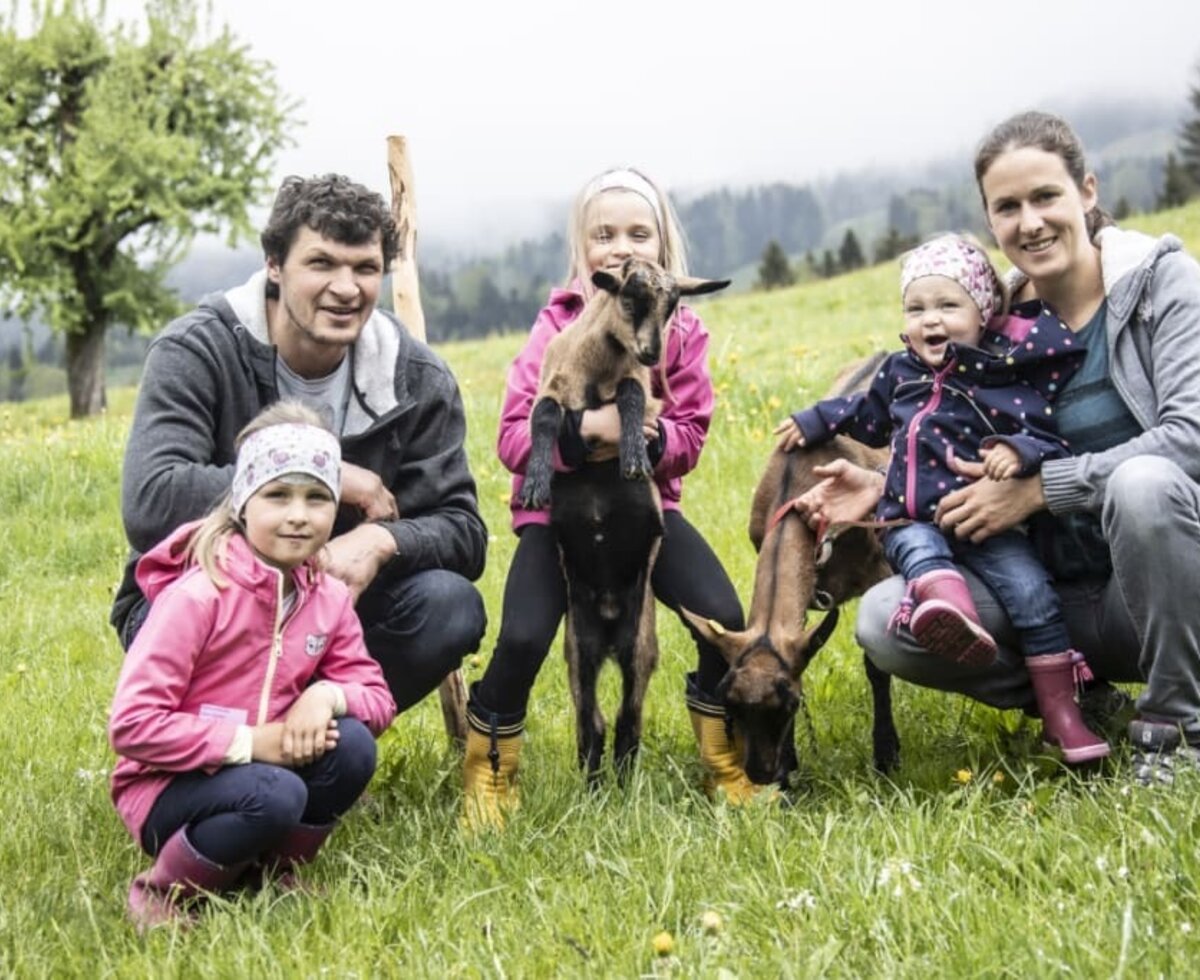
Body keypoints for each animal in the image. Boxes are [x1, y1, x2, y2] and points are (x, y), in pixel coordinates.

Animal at [681, 355, 897, 782]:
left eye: (790, 703)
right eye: (729, 704)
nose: (761, 772)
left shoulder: (879, 568)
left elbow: (876, 665)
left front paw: (886, 755)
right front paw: (791, 764)